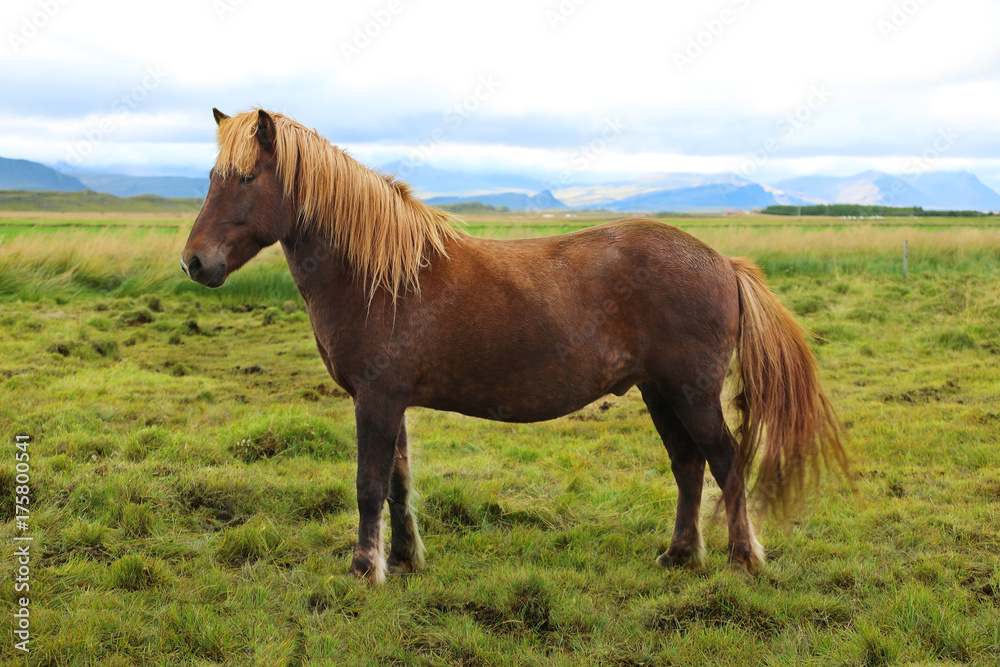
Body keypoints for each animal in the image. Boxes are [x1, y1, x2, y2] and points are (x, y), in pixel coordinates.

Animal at [180, 108, 844, 584]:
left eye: (246, 178)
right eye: (212, 178)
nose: (195, 262)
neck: (379, 274)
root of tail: (724, 263)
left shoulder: (375, 400)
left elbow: (369, 484)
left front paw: (366, 570)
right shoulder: (391, 402)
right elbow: (397, 482)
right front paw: (407, 559)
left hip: (693, 394)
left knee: (726, 463)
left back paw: (744, 558)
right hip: (661, 394)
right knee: (688, 466)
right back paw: (679, 555)